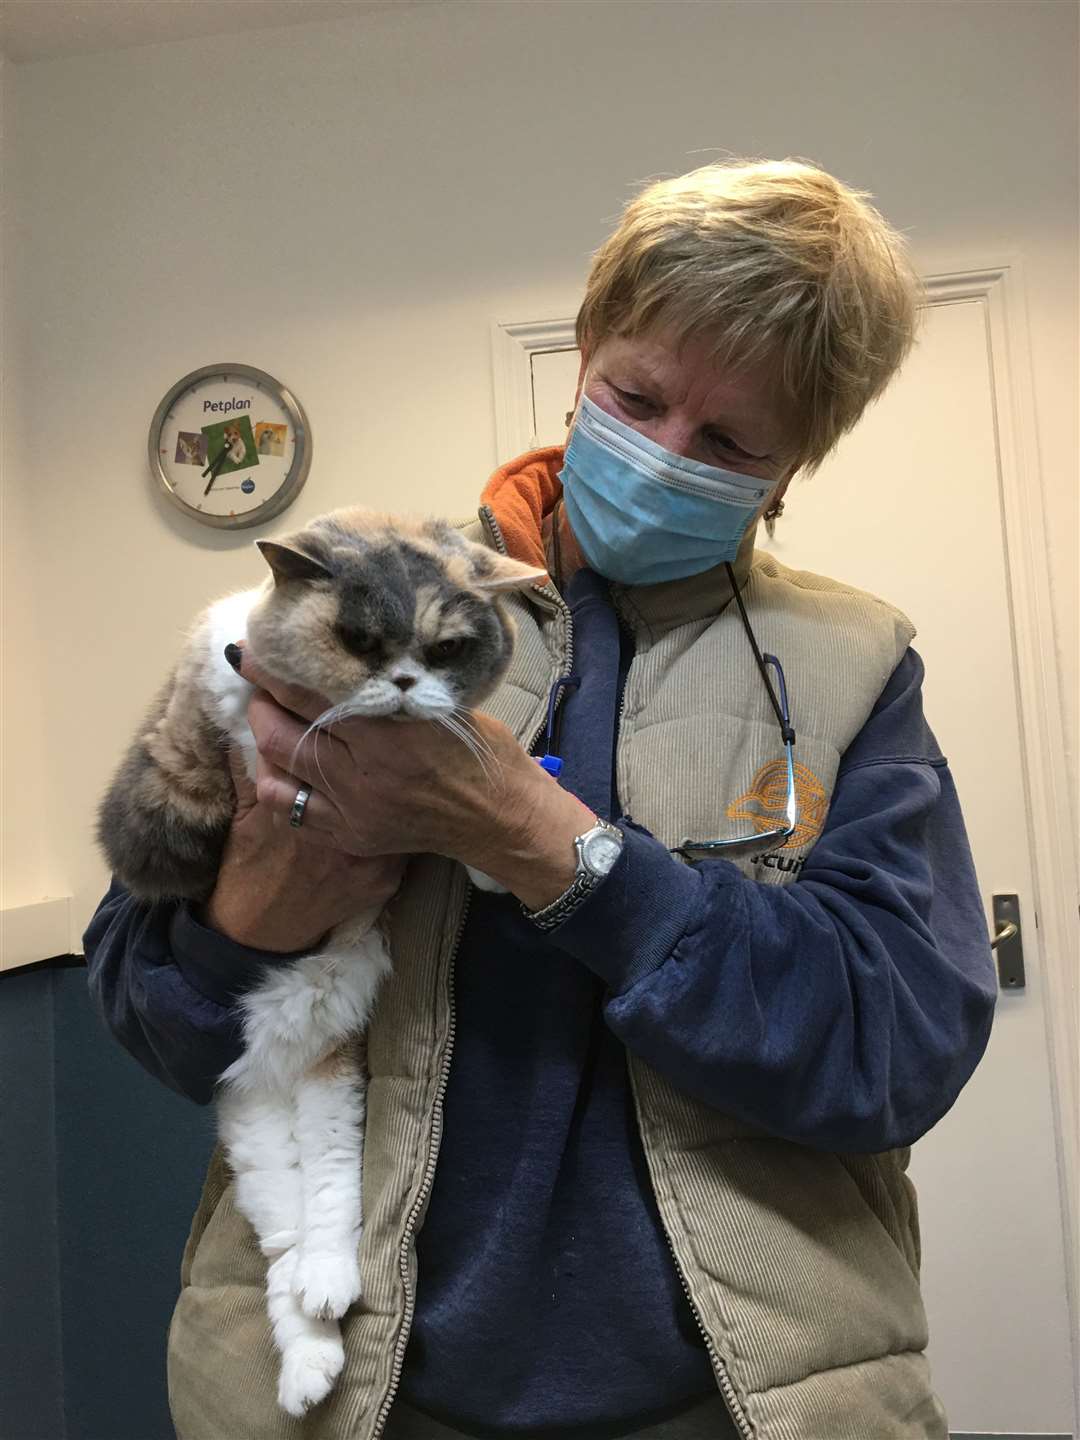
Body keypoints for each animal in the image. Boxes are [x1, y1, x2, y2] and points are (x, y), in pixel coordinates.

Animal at [97, 509, 544, 1416]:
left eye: (446, 650)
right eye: (360, 640)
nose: (404, 683)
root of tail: (285, 1051)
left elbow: (459, 824)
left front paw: (492, 862)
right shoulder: (211, 706)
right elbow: (237, 721)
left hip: (333, 1102)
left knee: (325, 1217)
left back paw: (324, 1320)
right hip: (259, 1129)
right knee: (284, 1246)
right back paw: (310, 1364)